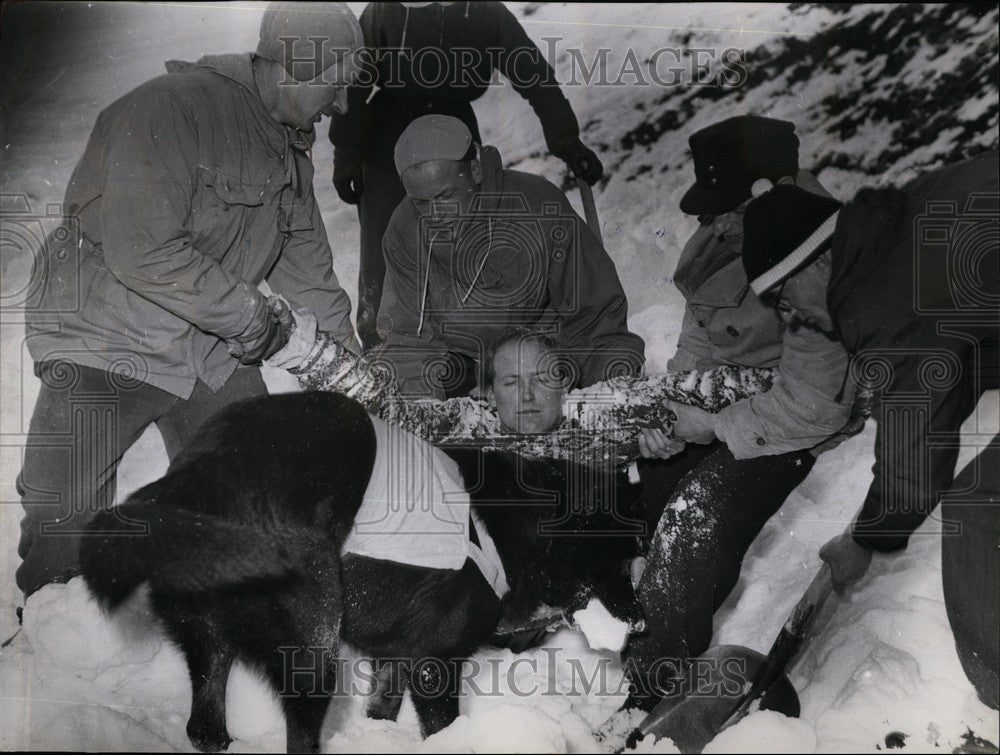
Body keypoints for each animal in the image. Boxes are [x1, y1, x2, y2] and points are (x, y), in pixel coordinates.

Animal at [78, 392, 640, 752]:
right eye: (622, 558)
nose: (641, 621)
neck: (511, 528)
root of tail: (192, 486)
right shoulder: (435, 664)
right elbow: (442, 726)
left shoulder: (396, 655)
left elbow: (382, 707)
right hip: (315, 649)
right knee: (300, 736)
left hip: (210, 639)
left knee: (205, 727)